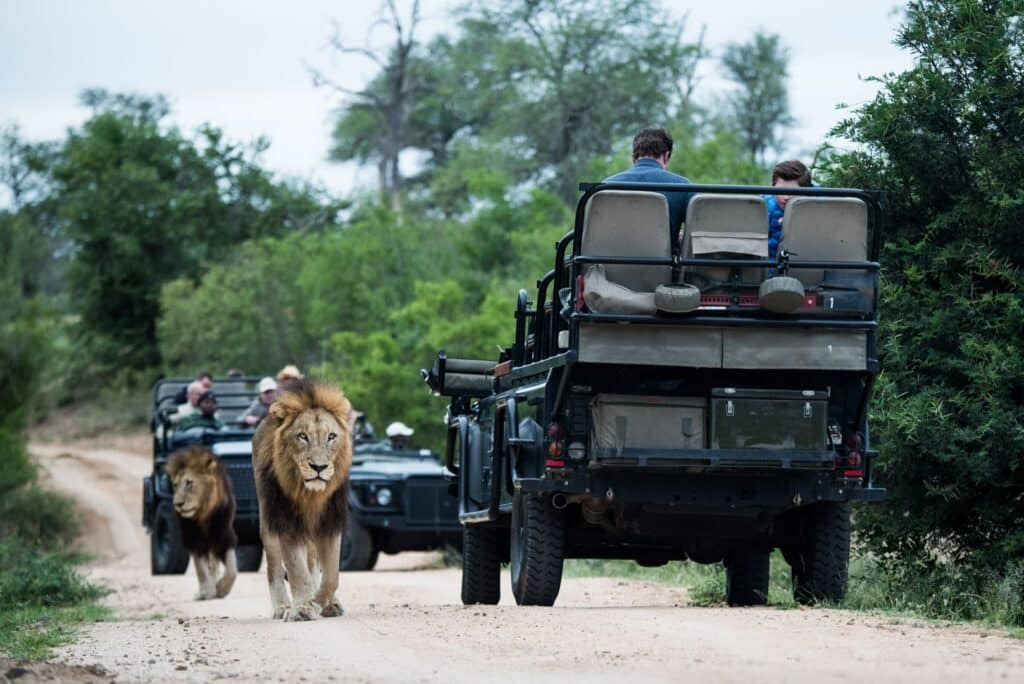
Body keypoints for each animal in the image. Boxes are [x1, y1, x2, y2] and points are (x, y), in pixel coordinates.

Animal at [166, 445, 238, 600]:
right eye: (175, 485)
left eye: (189, 482)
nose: (177, 504)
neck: (204, 514)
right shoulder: (194, 539)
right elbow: (201, 569)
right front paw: (206, 592)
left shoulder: (224, 536)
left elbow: (232, 569)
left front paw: (222, 589)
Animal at [252, 378, 352, 621]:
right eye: (302, 436)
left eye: (331, 437)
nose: (319, 467)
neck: (311, 497)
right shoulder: (287, 522)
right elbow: (297, 570)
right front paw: (304, 607)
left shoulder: (330, 522)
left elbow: (332, 575)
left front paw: (319, 601)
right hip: (268, 519)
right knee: (275, 567)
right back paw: (282, 607)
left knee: (314, 562)